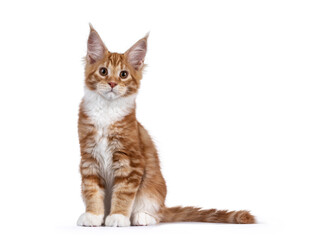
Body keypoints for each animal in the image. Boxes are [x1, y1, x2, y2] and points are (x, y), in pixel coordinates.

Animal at [76, 24, 255, 227]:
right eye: (103, 71)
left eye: (123, 74)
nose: (112, 83)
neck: (106, 111)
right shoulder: (89, 158)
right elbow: (91, 190)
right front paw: (93, 215)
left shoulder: (131, 161)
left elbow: (123, 193)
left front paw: (118, 216)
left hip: (153, 189)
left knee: (156, 212)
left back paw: (142, 216)